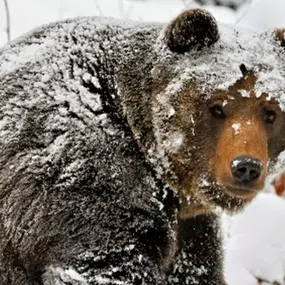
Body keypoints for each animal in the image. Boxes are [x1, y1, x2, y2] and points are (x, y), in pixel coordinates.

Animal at [0, 7, 284, 284]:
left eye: (271, 113)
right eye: (217, 107)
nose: (246, 167)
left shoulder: (192, 232)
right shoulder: (81, 177)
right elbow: (105, 263)